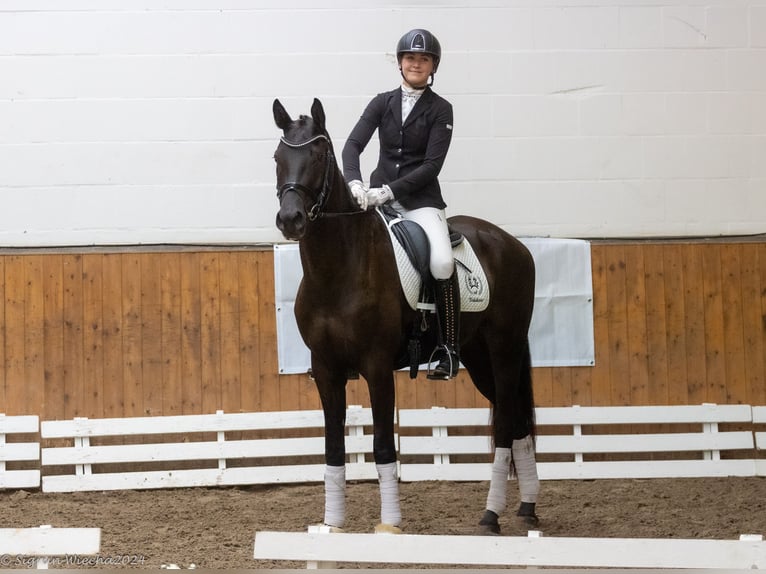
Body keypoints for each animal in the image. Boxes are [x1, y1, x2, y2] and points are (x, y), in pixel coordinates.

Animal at [274, 98, 540, 536]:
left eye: (318, 156)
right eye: (278, 157)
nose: (290, 219)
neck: (337, 271)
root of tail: (513, 245)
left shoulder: (378, 367)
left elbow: (383, 445)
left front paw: (390, 525)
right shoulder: (326, 369)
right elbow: (333, 448)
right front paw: (332, 526)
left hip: (505, 349)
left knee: (504, 423)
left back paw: (491, 516)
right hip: (479, 357)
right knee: (516, 419)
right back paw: (528, 507)